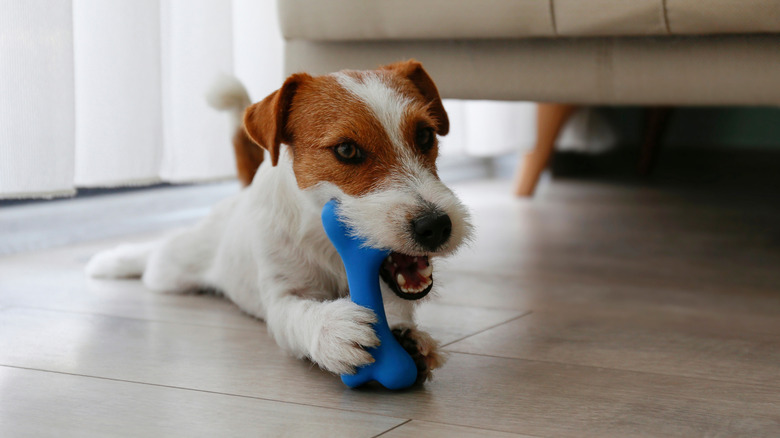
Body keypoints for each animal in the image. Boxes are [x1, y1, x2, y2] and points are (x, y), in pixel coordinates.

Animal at [87, 60, 472, 382]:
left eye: (425, 135)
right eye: (346, 150)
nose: (436, 226)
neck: (328, 244)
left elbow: (395, 306)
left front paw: (407, 338)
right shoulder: (281, 295)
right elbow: (296, 315)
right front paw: (333, 329)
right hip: (172, 269)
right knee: (155, 254)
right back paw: (112, 261)